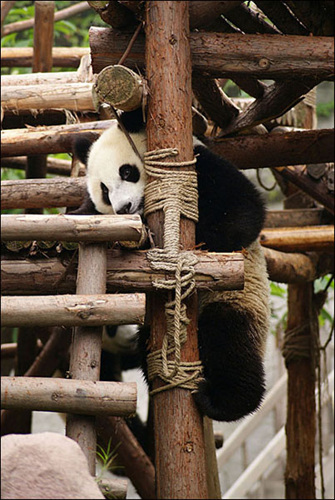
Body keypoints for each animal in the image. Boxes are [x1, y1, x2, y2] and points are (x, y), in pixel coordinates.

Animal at [72, 108, 272, 422]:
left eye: (126, 172)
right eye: (104, 190)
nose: (123, 208)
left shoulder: (200, 168)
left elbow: (243, 211)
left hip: (239, 299)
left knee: (228, 341)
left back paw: (222, 400)